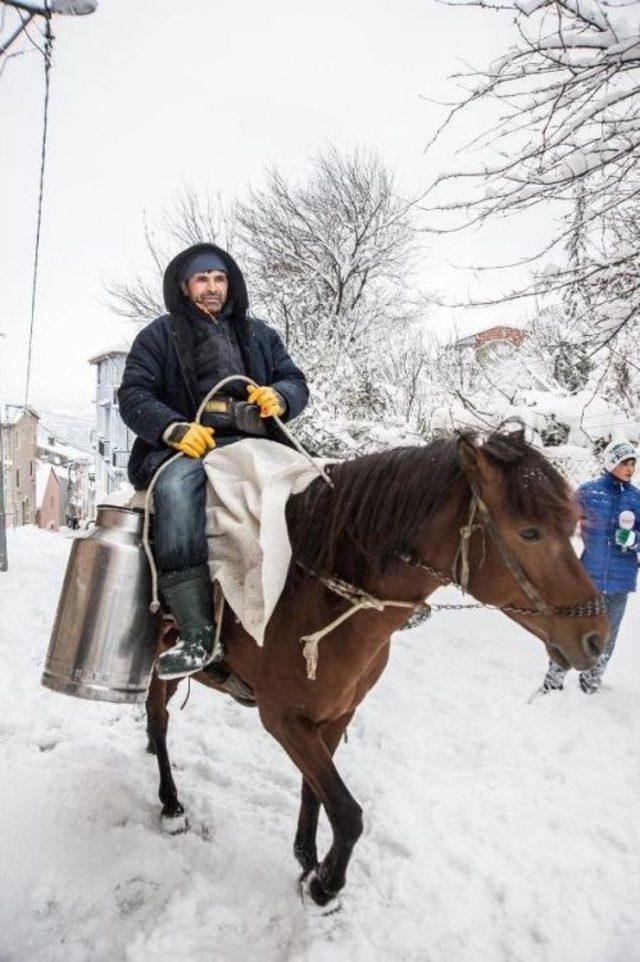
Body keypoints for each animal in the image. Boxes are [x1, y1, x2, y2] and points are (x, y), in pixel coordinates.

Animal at [145, 428, 608, 908]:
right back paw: (171, 805)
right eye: (530, 532)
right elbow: (348, 813)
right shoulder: (283, 719)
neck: (318, 594)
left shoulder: (335, 716)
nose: (596, 637)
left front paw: (308, 860)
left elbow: (316, 793)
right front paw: (326, 885)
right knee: (158, 721)